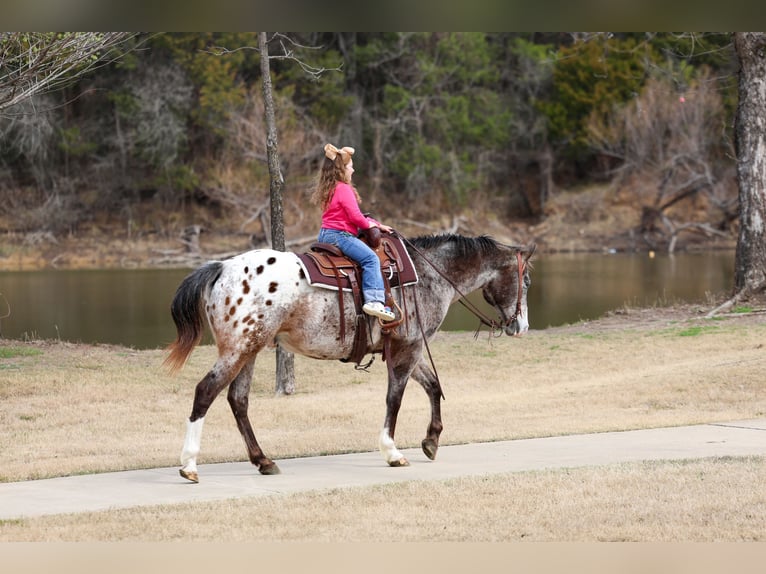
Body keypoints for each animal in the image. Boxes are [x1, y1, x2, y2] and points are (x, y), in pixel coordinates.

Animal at [164, 233, 535, 482]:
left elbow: (432, 387)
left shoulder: (406, 348)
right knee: (205, 392)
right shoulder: (409, 347)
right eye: (527, 280)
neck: (428, 275)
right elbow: (395, 399)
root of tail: (222, 266)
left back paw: (263, 460)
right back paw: (189, 465)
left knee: (238, 400)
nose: (522, 326)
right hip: (239, 349)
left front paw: (431, 440)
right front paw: (392, 451)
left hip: (250, 350)